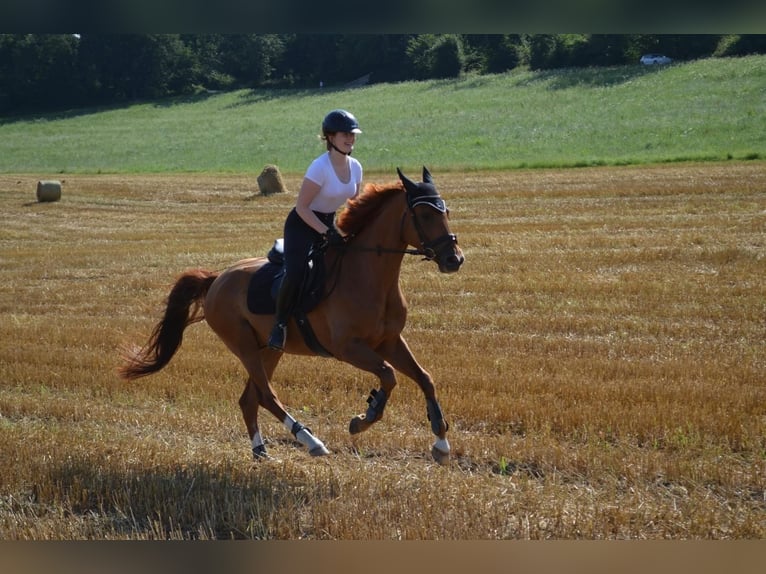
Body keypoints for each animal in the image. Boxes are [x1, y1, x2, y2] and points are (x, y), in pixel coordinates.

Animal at [119, 168, 464, 468]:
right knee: (266, 395)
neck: (369, 276)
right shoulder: (348, 348)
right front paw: (363, 419)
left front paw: (441, 444)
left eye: (445, 211)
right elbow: (389, 376)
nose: (454, 260)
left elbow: (425, 378)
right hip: (243, 345)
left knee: (250, 399)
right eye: (425, 215)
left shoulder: (389, 341)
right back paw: (311, 441)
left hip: (270, 349)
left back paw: (261, 452)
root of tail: (217, 278)